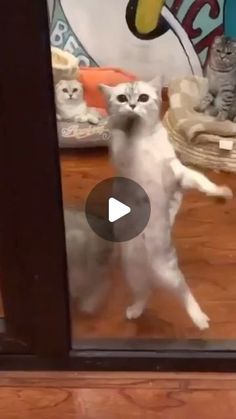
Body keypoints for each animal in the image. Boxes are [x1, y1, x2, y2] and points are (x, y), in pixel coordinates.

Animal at [100, 78, 232, 328]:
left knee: (183, 292)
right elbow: (120, 133)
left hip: (166, 270)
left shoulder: (177, 173)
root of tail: (151, 270)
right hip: (135, 271)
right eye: (122, 98)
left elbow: (205, 183)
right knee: (146, 293)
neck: (140, 139)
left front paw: (222, 192)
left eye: (143, 97)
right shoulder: (121, 157)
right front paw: (125, 121)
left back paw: (200, 319)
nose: (132, 105)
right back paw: (135, 310)